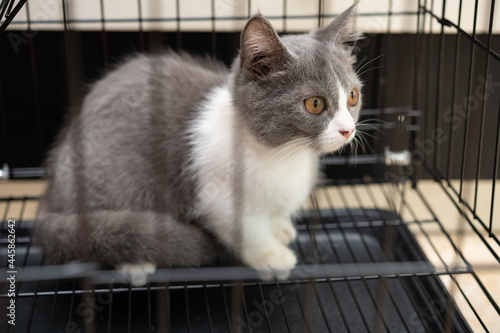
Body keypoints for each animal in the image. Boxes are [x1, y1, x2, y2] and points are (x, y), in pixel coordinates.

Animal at [35, 3, 364, 284]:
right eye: (314, 104)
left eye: (352, 96)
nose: (348, 130)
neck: (283, 154)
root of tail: (51, 200)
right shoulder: (216, 197)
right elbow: (247, 232)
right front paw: (272, 257)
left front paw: (279, 227)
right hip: (121, 176)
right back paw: (135, 263)